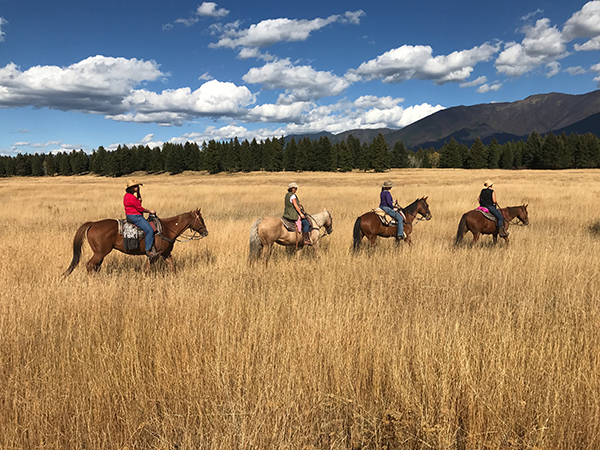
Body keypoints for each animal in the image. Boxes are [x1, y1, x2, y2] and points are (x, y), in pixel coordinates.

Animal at [62, 209, 209, 276]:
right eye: (201, 219)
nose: (206, 232)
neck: (167, 229)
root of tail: (93, 224)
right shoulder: (154, 255)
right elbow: (147, 270)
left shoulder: (166, 254)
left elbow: (172, 268)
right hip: (100, 253)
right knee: (89, 265)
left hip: (100, 254)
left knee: (95, 266)